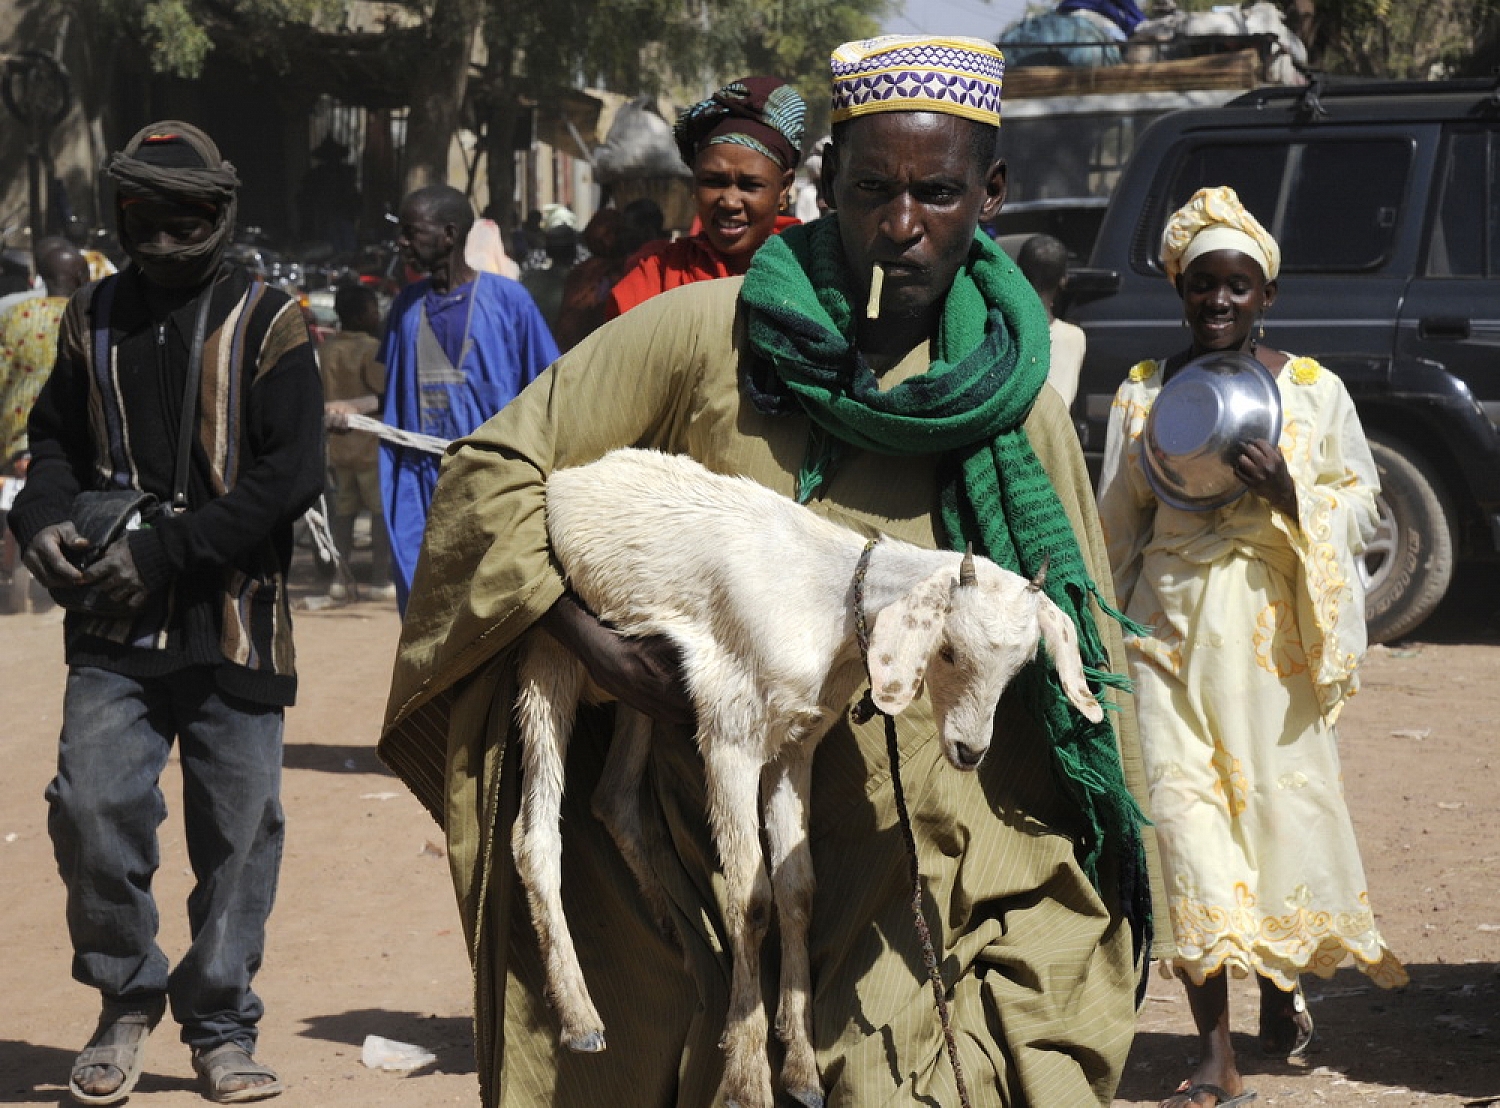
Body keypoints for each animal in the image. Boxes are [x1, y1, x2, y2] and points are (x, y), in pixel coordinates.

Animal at [510, 446, 1098, 1108]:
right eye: (948, 650)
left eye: (1020, 666)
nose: (970, 750)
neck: (829, 601)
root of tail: (569, 478)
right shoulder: (730, 734)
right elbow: (750, 897)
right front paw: (746, 1076)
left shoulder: (796, 745)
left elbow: (797, 891)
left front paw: (802, 1070)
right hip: (550, 655)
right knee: (535, 836)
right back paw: (580, 1018)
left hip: (633, 684)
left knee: (612, 797)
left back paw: (666, 920)